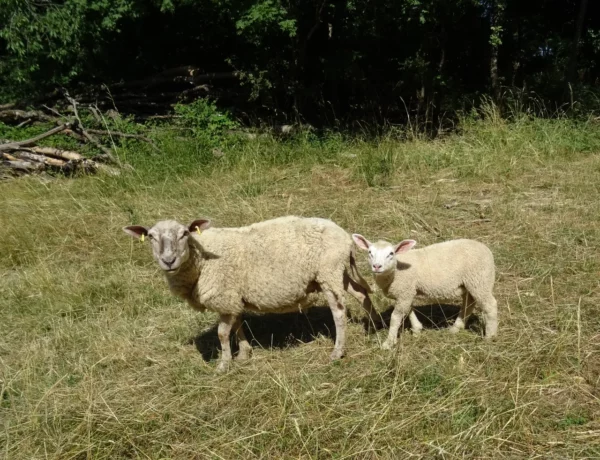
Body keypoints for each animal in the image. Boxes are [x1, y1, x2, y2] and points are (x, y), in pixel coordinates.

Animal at [122, 217, 378, 372]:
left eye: (184, 233)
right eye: (151, 236)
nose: (168, 261)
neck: (200, 260)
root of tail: (345, 236)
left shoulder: (224, 294)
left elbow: (222, 333)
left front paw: (223, 365)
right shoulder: (232, 297)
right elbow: (237, 325)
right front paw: (244, 354)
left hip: (328, 272)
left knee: (339, 312)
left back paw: (337, 351)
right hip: (337, 273)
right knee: (361, 294)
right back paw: (374, 325)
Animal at [352, 235, 496, 350]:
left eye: (391, 253)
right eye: (370, 252)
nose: (377, 266)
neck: (395, 271)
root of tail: (487, 250)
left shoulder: (405, 291)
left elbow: (395, 318)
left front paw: (388, 343)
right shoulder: (407, 292)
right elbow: (409, 310)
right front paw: (417, 329)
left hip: (480, 280)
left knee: (490, 305)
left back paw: (490, 336)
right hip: (469, 284)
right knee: (469, 304)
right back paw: (455, 328)